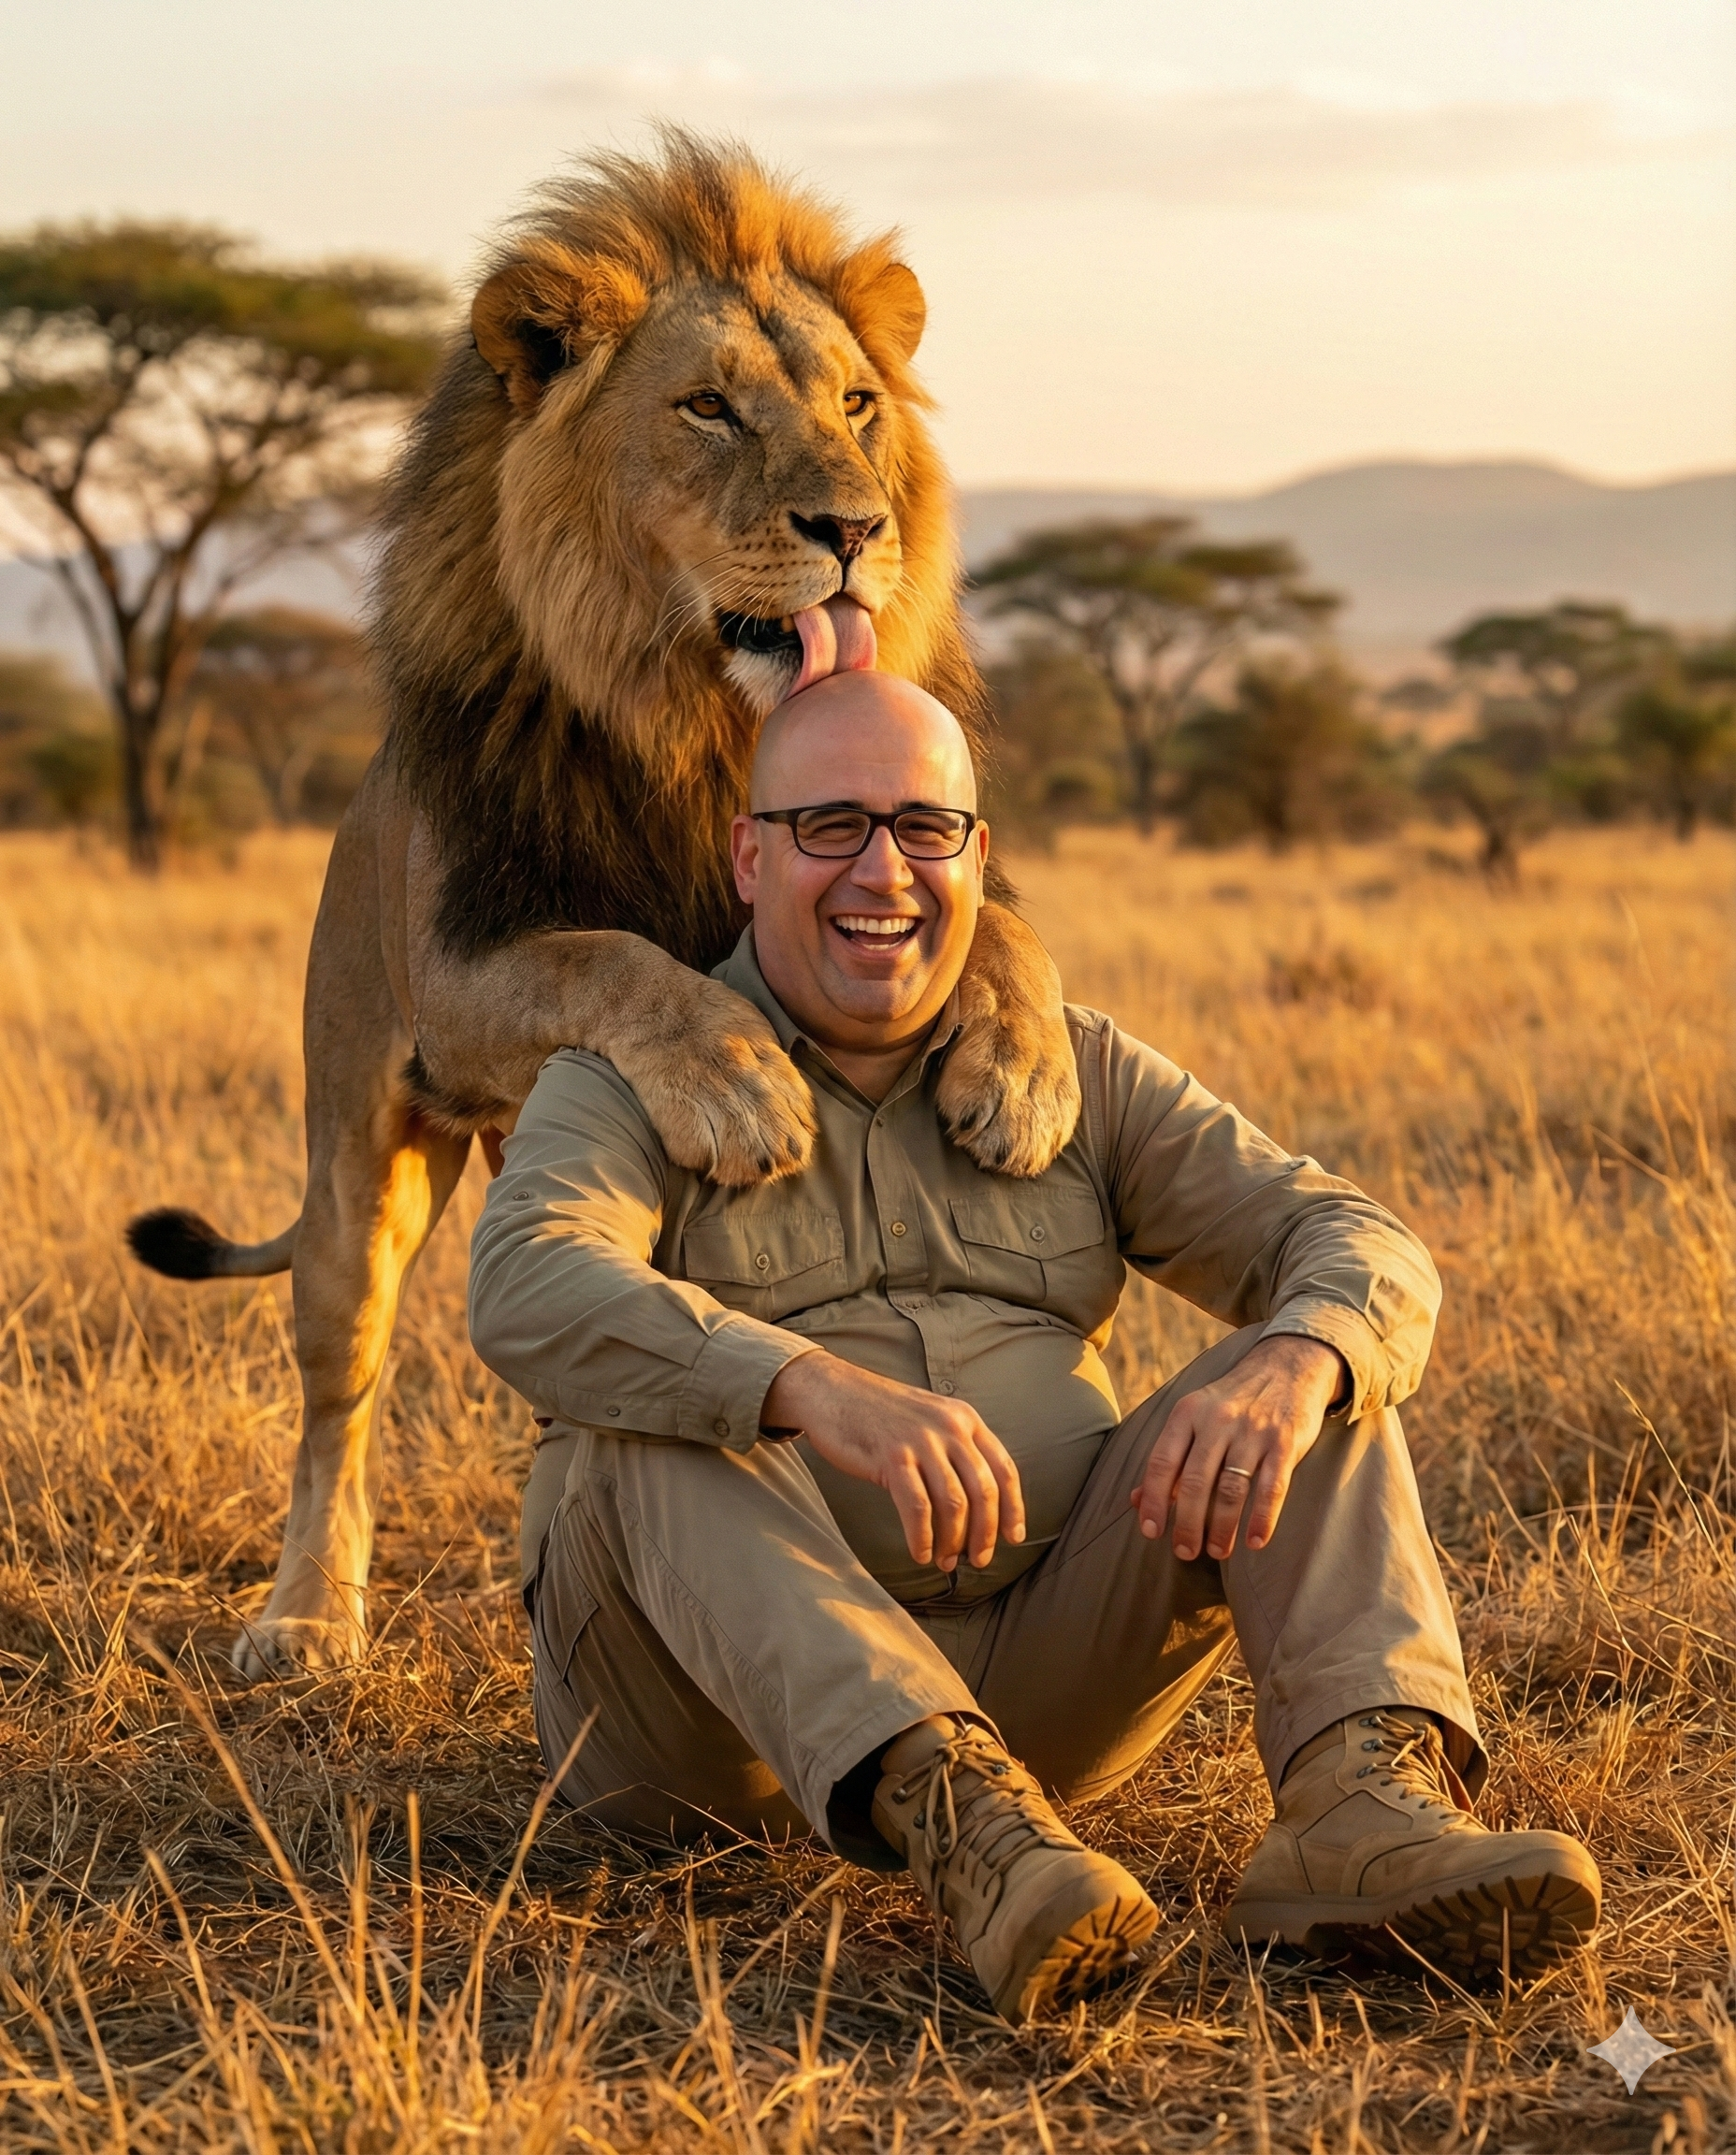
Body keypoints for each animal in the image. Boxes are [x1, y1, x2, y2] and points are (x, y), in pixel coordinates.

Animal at [126, 132, 1081, 1679]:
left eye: (857, 404)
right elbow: (614, 957)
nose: (855, 527)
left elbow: (1005, 932)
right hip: (356, 1149)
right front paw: (746, 1091)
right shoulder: (468, 974)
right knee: (341, 1382)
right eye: (709, 408)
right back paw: (307, 1617)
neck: (703, 725)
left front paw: (1021, 1080)